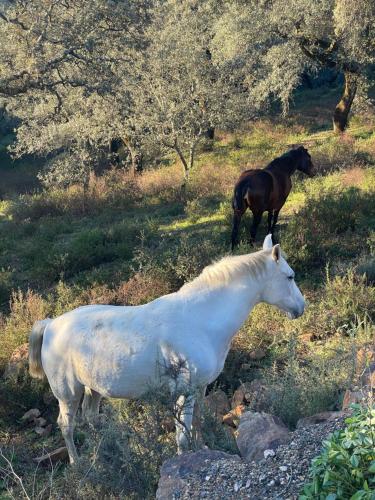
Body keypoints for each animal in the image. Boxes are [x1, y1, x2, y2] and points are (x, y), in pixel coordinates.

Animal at [29, 235, 306, 464]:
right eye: (290, 276)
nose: (301, 307)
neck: (200, 319)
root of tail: (51, 324)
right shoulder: (184, 391)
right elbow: (182, 434)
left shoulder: (199, 388)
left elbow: (197, 423)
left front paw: (203, 450)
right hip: (68, 393)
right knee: (67, 425)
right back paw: (77, 463)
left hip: (93, 387)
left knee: (90, 418)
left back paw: (106, 455)